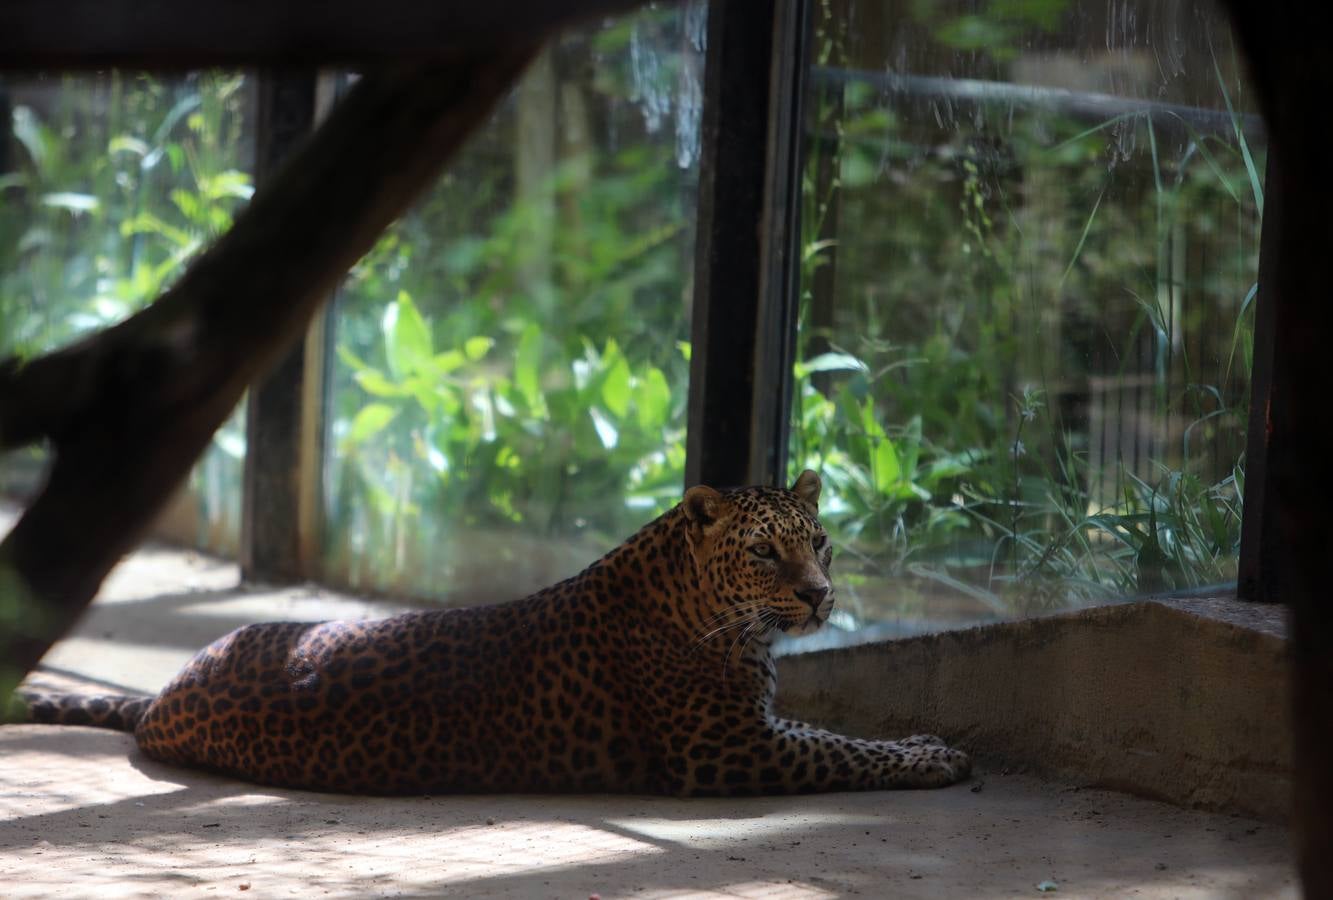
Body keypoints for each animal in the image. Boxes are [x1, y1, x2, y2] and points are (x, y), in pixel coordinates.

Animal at [15, 472, 975, 794]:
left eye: (819, 542)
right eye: (767, 552)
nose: (818, 597)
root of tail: (164, 694)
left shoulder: (754, 728)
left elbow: (829, 731)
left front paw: (925, 741)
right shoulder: (729, 751)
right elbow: (841, 750)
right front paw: (934, 757)